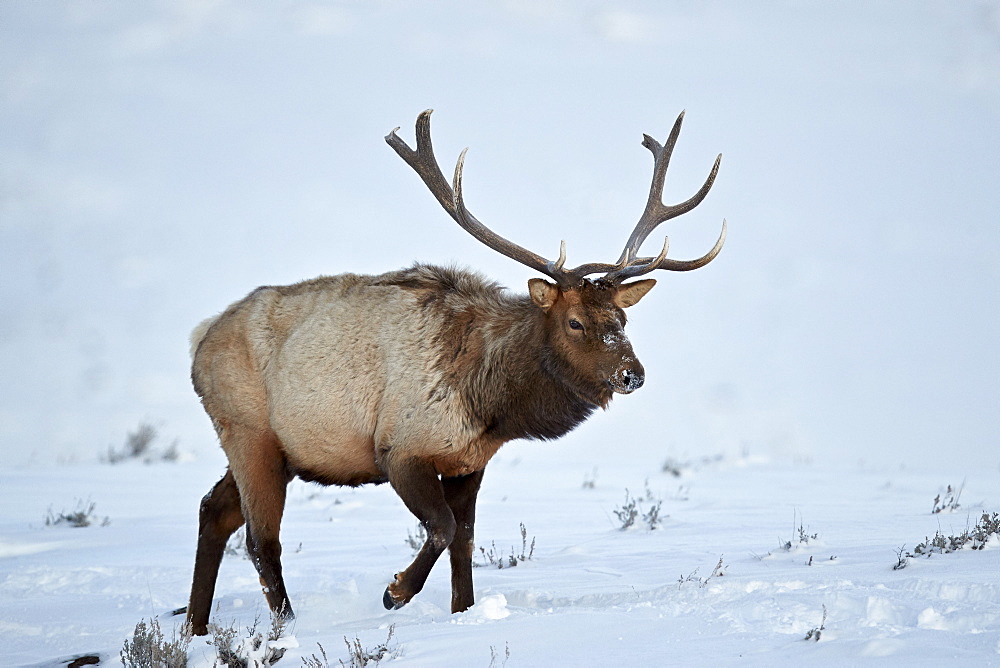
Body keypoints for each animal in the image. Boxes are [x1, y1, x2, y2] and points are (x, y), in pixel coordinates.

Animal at [184, 107, 724, 636]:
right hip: (249, 433)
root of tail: (200, 339)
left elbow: (464, 539)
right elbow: (441, 527)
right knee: (261, 540)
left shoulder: (469, 461)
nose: (633, 373)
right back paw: (286, 627)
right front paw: (395, 591)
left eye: (622, 319)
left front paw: (463, 612)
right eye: (574, 321)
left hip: (280, 450)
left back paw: (195, 627)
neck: (491, 403)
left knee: (214, 510)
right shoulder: (399, 448)